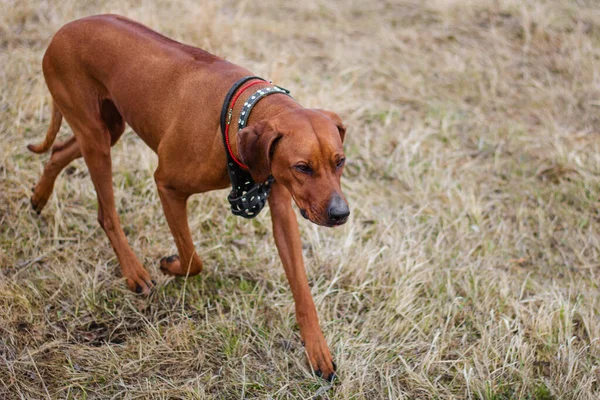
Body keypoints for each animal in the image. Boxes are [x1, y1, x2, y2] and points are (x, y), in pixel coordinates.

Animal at [27, 14, 346, 378]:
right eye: (302, 167)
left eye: (340, 161)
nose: (341, 214)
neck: (240, 116)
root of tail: (65, 29)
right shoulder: (167, 185)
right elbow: (194, 259)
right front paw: (171, 265)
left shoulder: (281, 204)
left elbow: (302, 287)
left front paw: (316, 348)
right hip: (95, 136)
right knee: (106, 212)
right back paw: (134, 272)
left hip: (107, 128)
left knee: (58, 152)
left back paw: (40, 196)